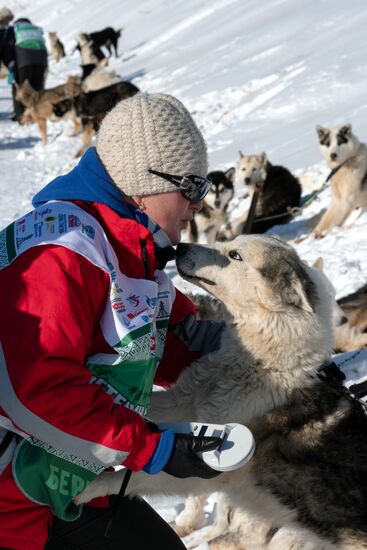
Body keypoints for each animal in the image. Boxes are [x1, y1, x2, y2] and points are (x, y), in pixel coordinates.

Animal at [74, 237, 367, 550]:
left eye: (235, 255)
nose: (180, 246)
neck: (261, 362)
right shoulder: (183, 402)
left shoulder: (205, 472)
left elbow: (136, 478)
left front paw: (89, 489)